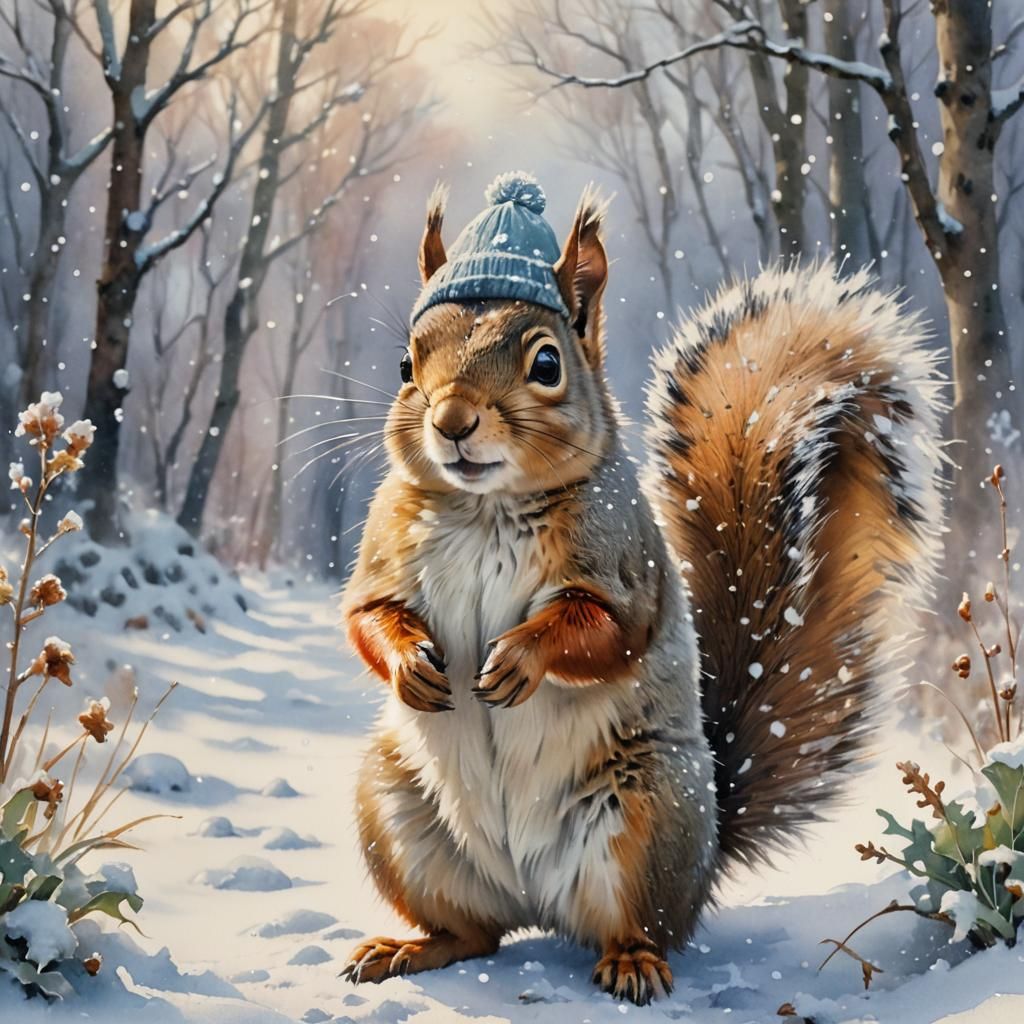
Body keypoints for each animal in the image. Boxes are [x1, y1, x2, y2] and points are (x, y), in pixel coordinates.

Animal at [339, 173, 943, 1005]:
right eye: (406, 364)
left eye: (548, 365)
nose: (453, 420)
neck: (487, 508)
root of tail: (536, 902)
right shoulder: (384, 551)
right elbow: (369, 614)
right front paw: (413, 668)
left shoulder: (625, 565)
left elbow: (604, 631)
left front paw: (518, 659)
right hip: (395, 812)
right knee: (474, 934)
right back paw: (408, 947)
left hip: (646, 815)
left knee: (636, 923)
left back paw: (631, 963)